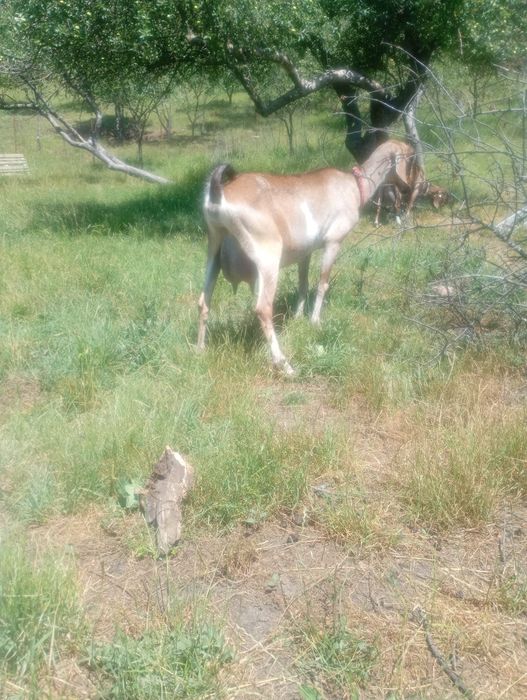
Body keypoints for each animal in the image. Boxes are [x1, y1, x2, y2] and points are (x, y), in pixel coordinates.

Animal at [197, 139, 413, 374]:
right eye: (411, 158)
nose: (407, 189)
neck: (354, 185)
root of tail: (219, 194)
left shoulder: (305, 252)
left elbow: (303, 283)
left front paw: (298, 316)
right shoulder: (333, 242)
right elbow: (322, 283)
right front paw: (315, 321)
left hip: (214, 247)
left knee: (203, 301)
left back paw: (199, 350)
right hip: (268, 255)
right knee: (263, 308)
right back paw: (284, 363)